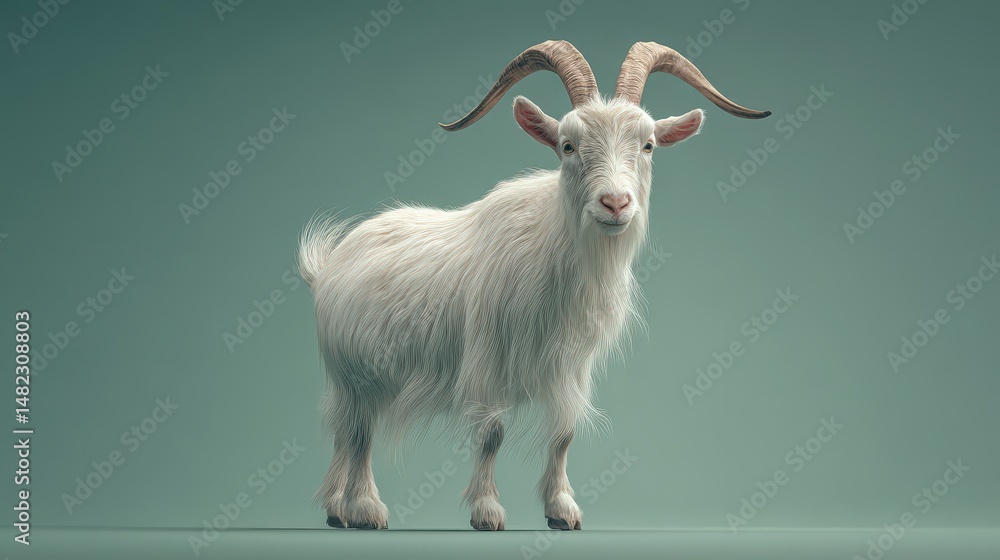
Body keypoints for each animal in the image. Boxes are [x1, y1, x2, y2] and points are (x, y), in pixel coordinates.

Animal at [298, 41, 769, 531]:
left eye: (648, 144)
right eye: (567, 145)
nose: (615, 203)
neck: (553, 247)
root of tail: (329, 264)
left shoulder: (571, 364)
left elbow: (564, 433)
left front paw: (561, 509)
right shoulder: (486, 356)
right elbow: (491, 432)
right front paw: (487, 511)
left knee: (346, 434)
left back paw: (337, 509)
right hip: (354, 372)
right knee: (358, 434)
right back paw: (364, 507)